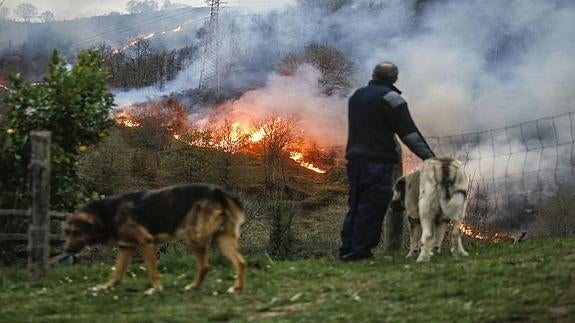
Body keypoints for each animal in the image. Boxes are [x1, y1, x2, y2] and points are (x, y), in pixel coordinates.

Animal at [63, 184, 248, 294]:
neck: (107, 213)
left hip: (194, 237)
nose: (66, 250)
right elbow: (118, 274)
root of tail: (216, 191)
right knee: (240, 262)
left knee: (205, 266)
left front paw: (156, 289)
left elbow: (152, 271)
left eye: (77, 232)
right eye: (67, 232)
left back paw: (194, 286)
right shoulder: (126, 247)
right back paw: (236, 287)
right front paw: (104, 287)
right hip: (221, 239)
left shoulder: (146, 242)